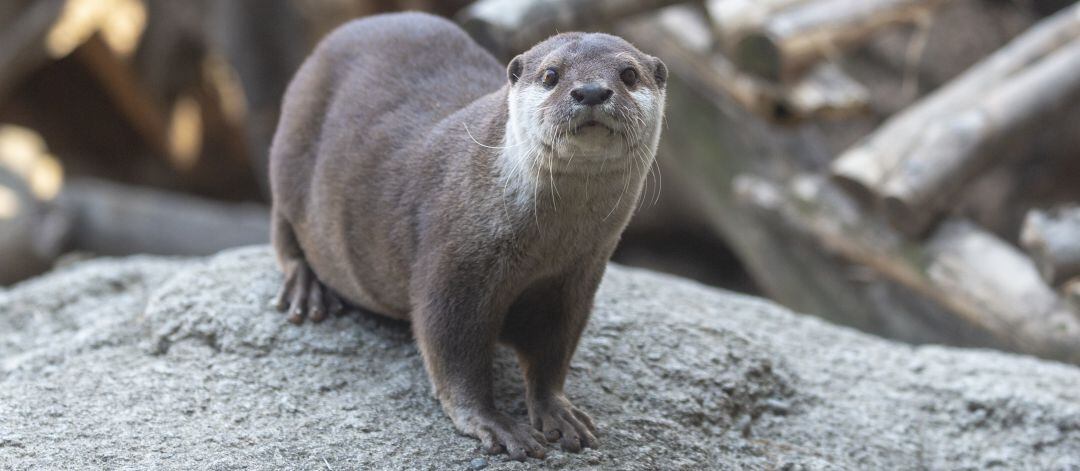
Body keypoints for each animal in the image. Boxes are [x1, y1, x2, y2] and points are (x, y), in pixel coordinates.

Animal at [267, 11, 665, 460]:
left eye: (628, 74)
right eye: (551, 75)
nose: (592, 91)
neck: (548, 243)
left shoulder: (577, 276)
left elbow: (553, 351)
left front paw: (558, 412)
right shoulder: (455, 261)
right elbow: (452, 350)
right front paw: (493, 423)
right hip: (288, 157)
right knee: (283, 232)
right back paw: (306, 290)